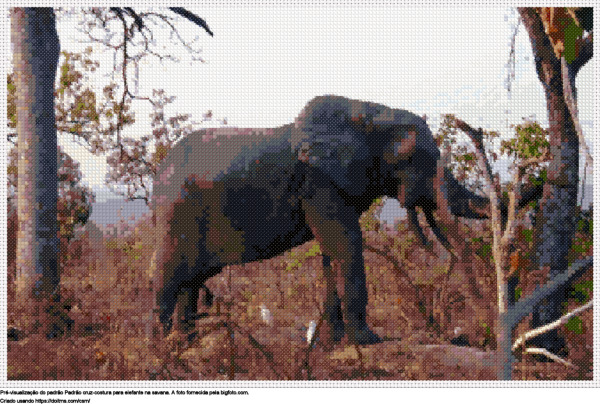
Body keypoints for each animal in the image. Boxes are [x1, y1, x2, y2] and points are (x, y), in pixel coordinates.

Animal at [154, 94, 492, 344]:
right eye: (419, 158)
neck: (368, 115)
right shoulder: (317, 181)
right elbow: (346, 243)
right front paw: (369, 341)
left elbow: (331, 252)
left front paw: (335, 344)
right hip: (176, 213)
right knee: (169, 274)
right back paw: (162, 351)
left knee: (193, 279)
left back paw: (188, 344)